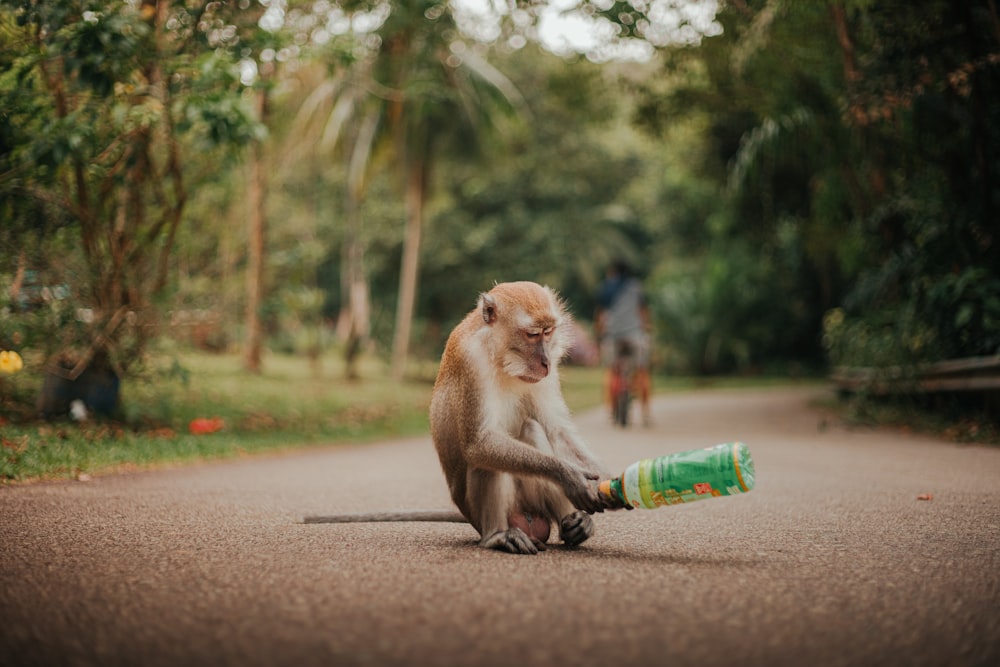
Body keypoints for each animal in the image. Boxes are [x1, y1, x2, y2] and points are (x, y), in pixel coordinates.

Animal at [300, 282, 624, 552]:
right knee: (485, 457)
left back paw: (573, 524)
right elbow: (479, 443)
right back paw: (498, 537)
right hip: (482, 512)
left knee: (531, 429)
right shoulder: (471, 362)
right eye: (532, 334)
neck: (500, 356)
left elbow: (558, 430)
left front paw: (608, 482)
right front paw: (569, 475)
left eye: (549, 332)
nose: (545, 361)